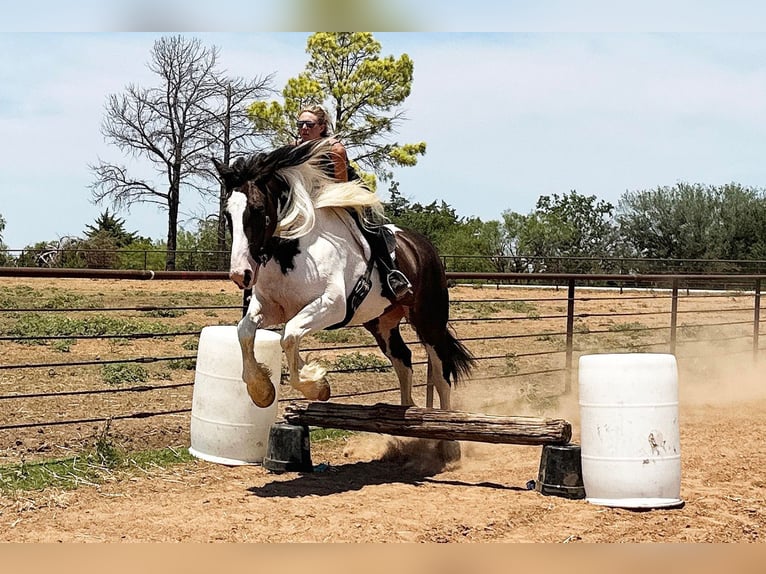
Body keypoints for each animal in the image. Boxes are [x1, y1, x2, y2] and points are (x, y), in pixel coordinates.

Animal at [212, 142, 474, 416]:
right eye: (228, 215)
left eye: (258, 209)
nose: (240, 274)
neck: (291, 251)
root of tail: (423, 246)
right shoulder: (271, 308)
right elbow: (246, 331)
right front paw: (261, 390)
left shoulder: (333, 305)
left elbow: (290, 334)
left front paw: (315, 385)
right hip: (382, 323)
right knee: (403, 360)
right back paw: (406, 411)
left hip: (429, 321)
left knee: (442, 373)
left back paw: (445, 420)